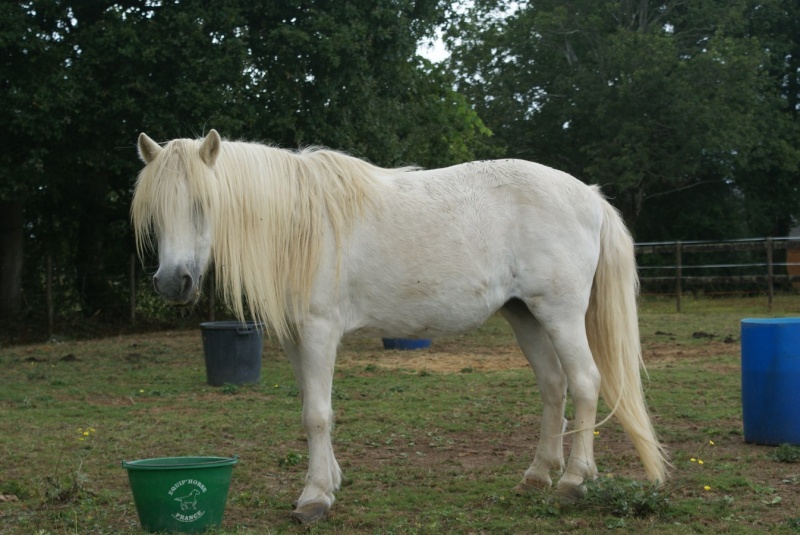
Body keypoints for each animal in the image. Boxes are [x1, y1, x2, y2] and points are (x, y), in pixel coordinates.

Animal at [131, 132, 668, 524]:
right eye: (156, 212)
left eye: (203, 205)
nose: (173, 282)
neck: (301, 225)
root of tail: (591, 197)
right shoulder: (295, 338)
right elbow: (309, 408)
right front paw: (329, 481)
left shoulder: (319, 332)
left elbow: (318, 415)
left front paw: (315, 498)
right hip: (525, 315)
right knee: (554, 386)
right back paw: (538, 476)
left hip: (559, 313)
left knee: (585, 383)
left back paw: (574, 482)